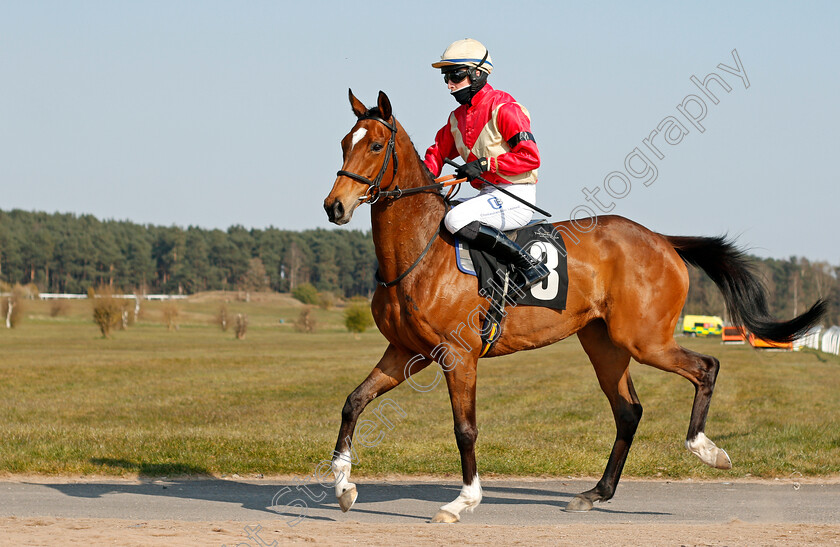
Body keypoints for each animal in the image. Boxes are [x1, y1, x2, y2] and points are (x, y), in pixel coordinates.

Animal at [322, 89, 828, 524]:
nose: (334, 206)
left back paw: (705, 448)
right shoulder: (406, 351)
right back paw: (596, 492)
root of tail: (662, 239)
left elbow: (464, 428)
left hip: (644, 340)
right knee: (628, 411)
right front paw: (344, 486)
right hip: (605, 343)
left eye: (377, 145)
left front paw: (462, 501)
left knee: (706, 367)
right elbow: (353, 402)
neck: (421, 253)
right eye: (345, 143)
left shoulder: (457, 355)